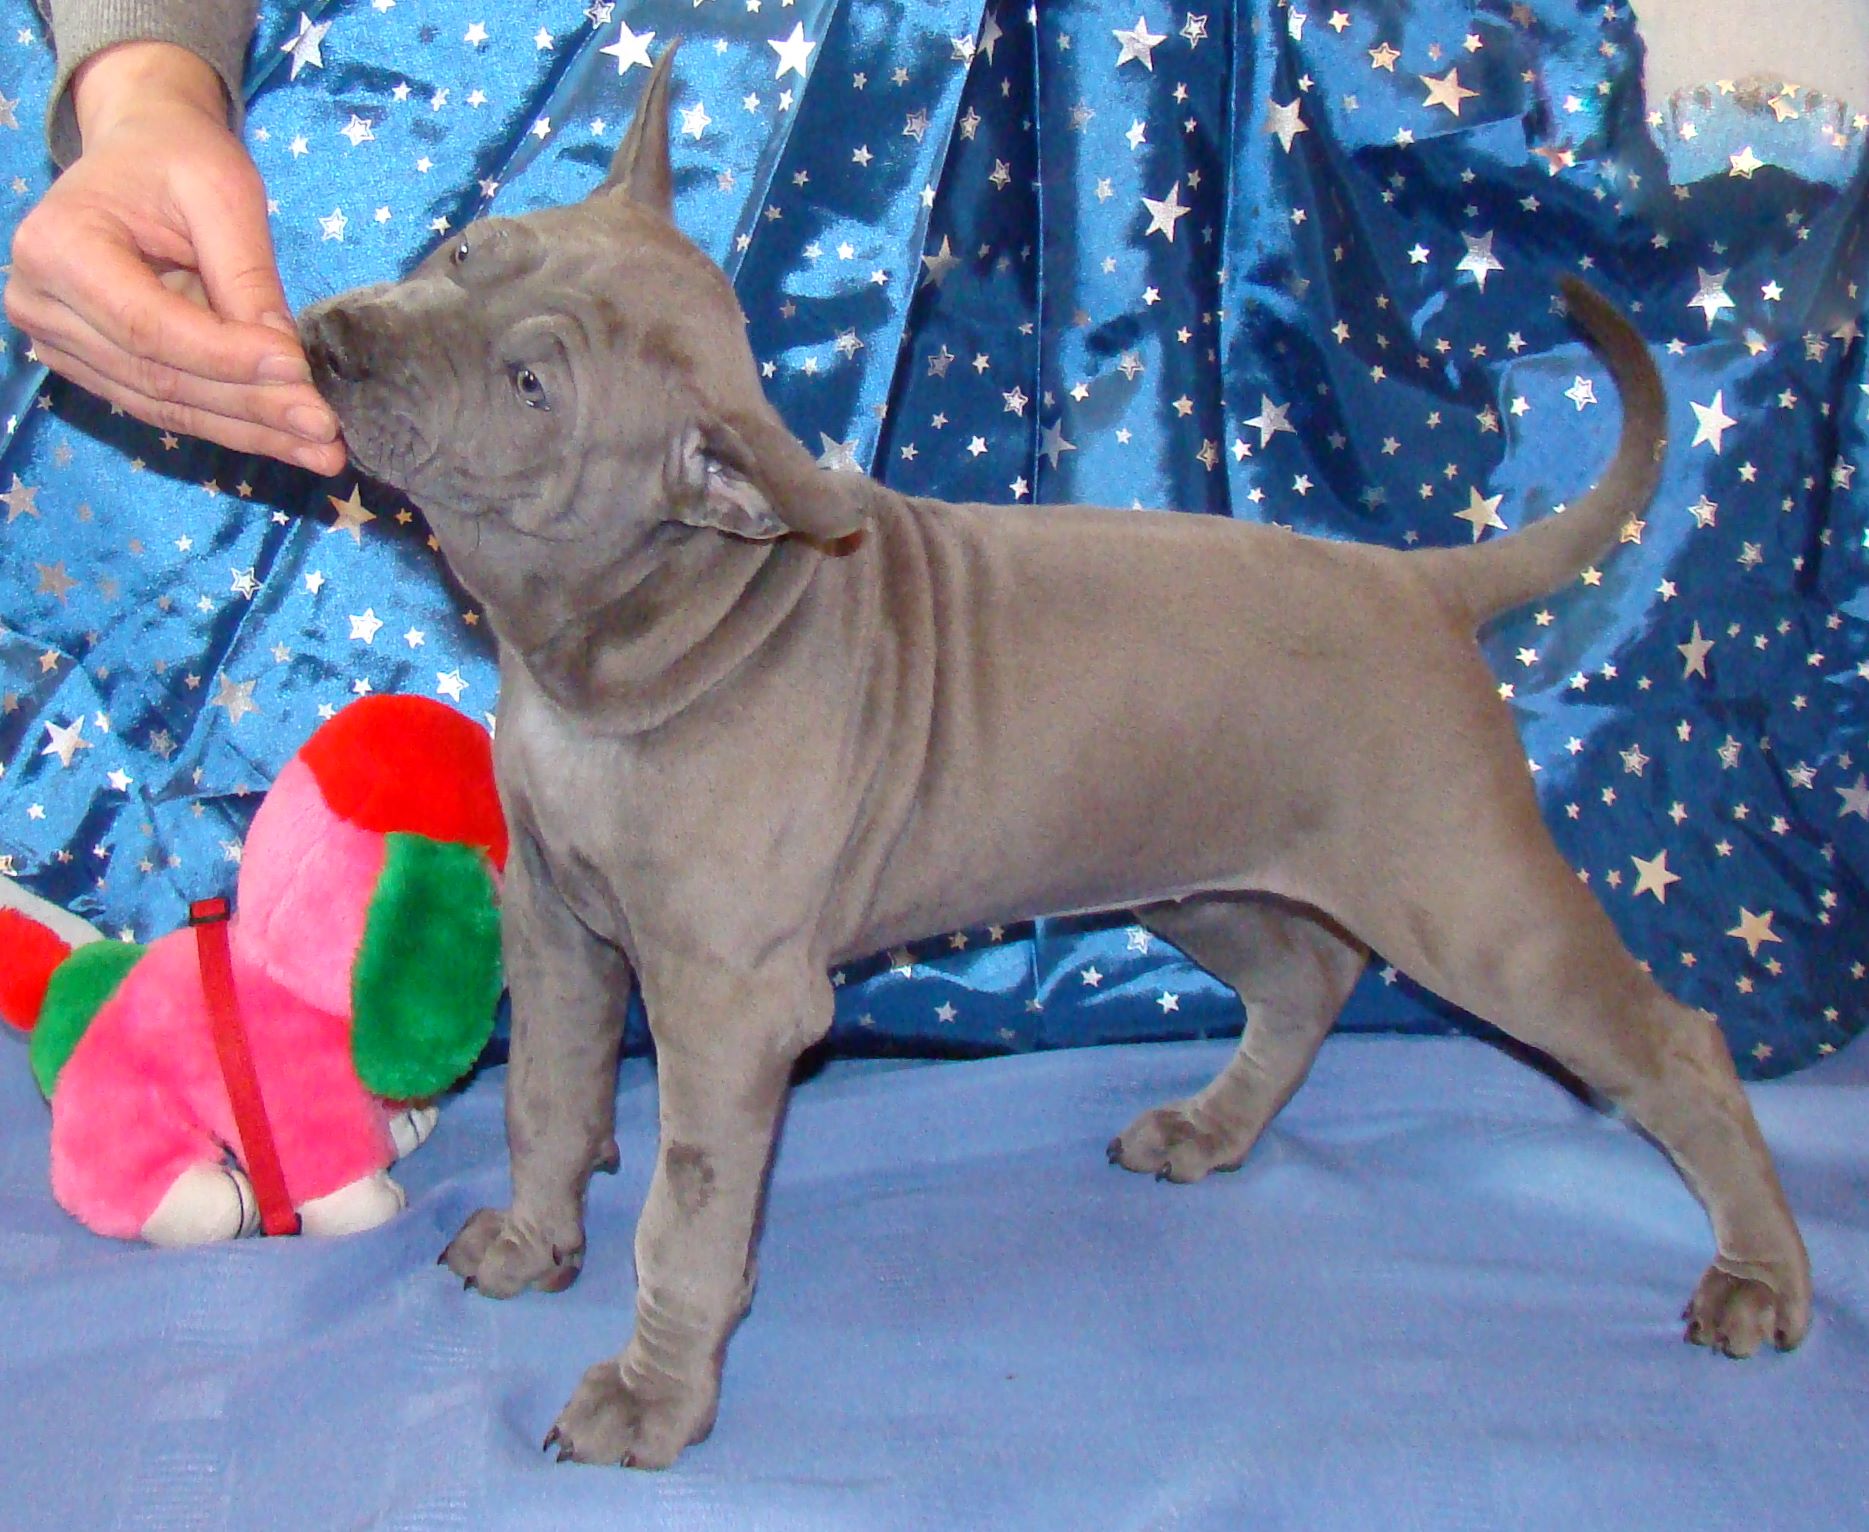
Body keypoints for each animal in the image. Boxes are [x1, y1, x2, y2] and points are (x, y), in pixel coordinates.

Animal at [301, 43, 1811, 1469]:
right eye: (464, 254)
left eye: (531, 384)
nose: (331, 335)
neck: (656, 627)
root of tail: (1422, 583)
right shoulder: (556, 924)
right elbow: (547, 1097)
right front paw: (531, 1240)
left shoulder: (731, 1001)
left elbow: (686, 1214)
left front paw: (653, 1396)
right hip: (1189, 863)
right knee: (1308, 976)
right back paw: (1211, 1129)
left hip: (1469, 901)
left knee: (1668, 1041)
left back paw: (1759, 1275)